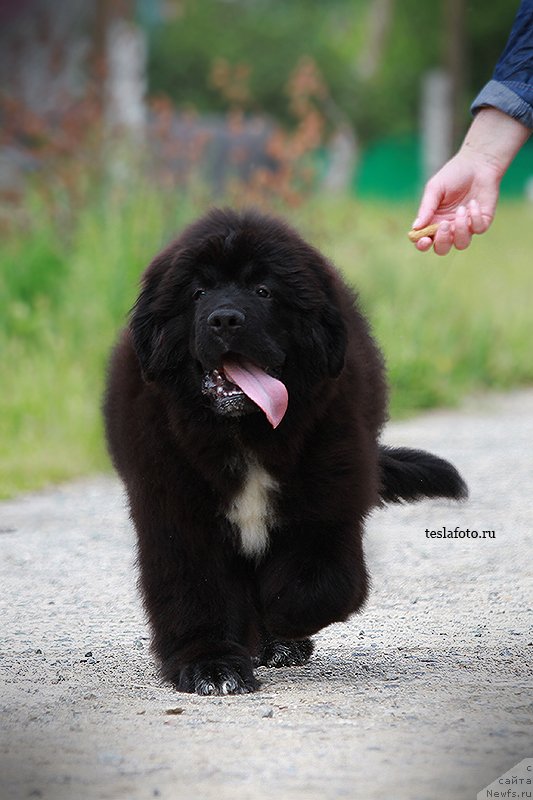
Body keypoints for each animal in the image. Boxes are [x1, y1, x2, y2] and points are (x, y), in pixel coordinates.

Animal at [104, 206, 466, 692]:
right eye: (198, 293)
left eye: (264, 290)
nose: (225, 319)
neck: (245, 436)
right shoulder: (176, 511)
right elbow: (194, 591)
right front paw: (212, 665)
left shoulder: (329, 497)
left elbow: (322, 584)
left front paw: (279, 624)